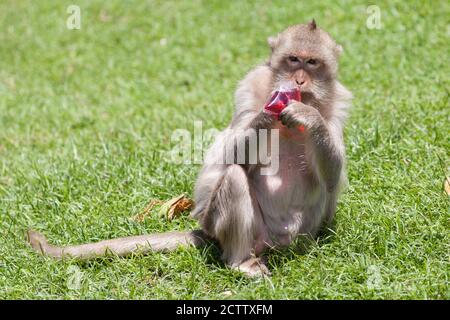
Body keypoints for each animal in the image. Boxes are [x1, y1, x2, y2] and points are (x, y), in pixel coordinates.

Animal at [27, 21, 352, 278]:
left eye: (312, 63)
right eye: (293, 59)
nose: (299, 80)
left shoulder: (341, 101)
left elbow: (332, 174)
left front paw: (309, 117)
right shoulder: (250, 85)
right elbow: (230, 156)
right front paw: (266, 115)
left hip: (305, 230)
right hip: (221, 226)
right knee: (233, 178)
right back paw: (240, 262)